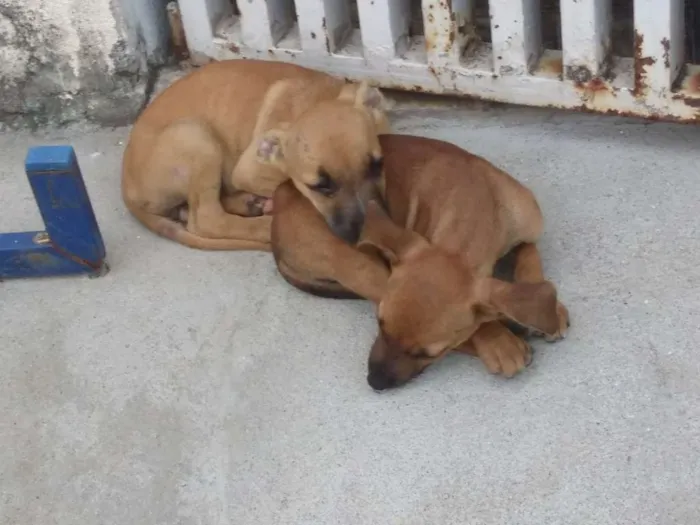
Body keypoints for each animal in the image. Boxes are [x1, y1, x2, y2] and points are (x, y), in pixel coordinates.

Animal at [122, 60, 392, 249]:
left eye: (377, 165)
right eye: (320, 187)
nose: (366, 232)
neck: (314, 101)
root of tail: (126, 188)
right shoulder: (248, 170)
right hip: (194, 135)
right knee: (208, 219)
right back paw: (265, 225)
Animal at [270, 135, 572, 388]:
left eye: (426, 354)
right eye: (379, 324)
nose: (374, 382)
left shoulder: (529, 231)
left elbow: (530, 258)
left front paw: (548, 309)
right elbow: (476, 325)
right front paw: (499, 336)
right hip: (363, 266)